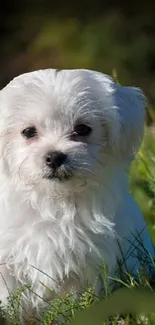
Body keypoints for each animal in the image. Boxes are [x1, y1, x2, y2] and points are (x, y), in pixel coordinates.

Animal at [0, 69, 153, 312]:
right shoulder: (8, 262)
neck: (55, 200)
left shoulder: (86, 263)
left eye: (82, 129)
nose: (54, 156)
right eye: (28, 132)